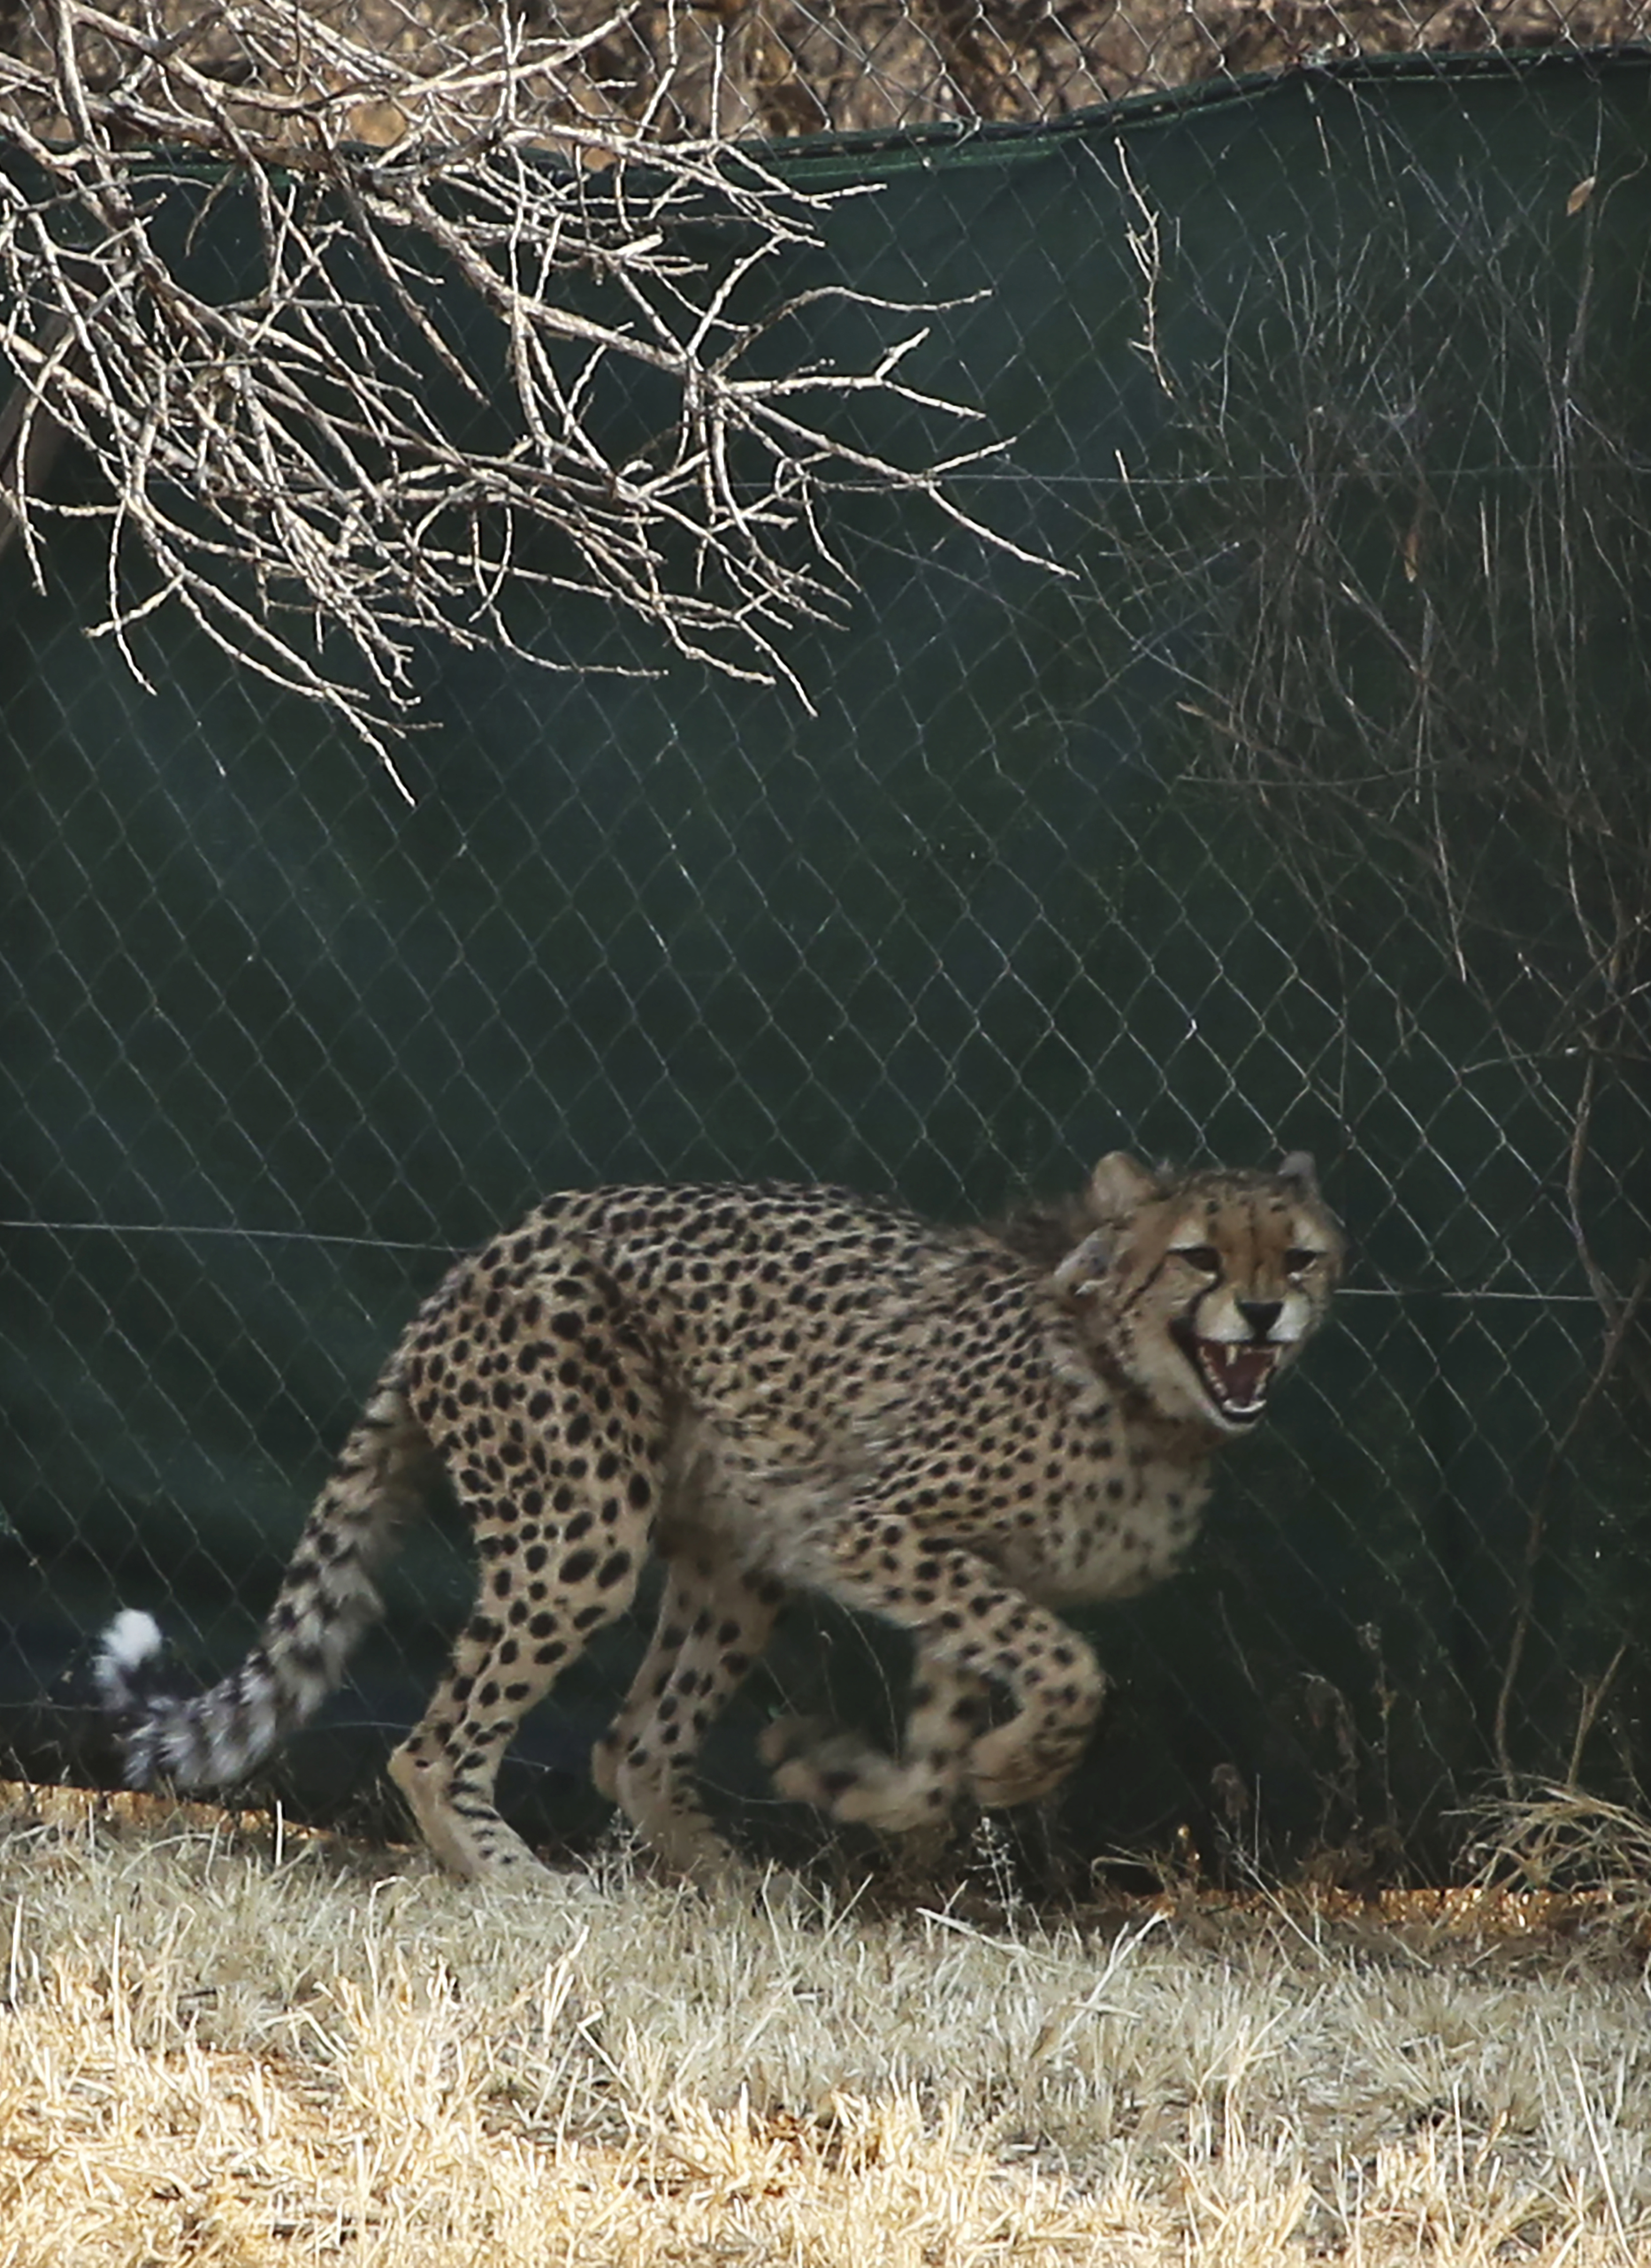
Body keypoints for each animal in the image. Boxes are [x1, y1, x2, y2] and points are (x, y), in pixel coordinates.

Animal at [95, 1150, 1341, 1884]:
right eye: (1199, 1256)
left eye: (1299, 1256)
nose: (1264, 1312)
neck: (1136, 1391)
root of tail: (482, 1257)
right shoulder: (876, 1527)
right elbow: (1072, 1668)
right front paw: (1010, 1768)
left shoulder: (953, 1563)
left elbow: (945, 1741)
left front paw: (862, 1781)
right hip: (587, 1526)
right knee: (432, 1745)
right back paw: (515, 1879)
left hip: (744, 1553)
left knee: (630, 1746)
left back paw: (731, 1883)